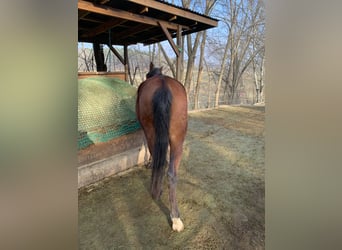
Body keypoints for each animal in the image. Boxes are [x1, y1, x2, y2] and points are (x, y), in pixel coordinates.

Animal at [136, 63, 188, 232]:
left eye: (146, 74)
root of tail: (163, 85)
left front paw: (149, 162)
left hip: (151, 131)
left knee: (159, 160)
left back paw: (157, 192)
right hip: (178, 139)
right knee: (171, 173)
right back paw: (175, 217)